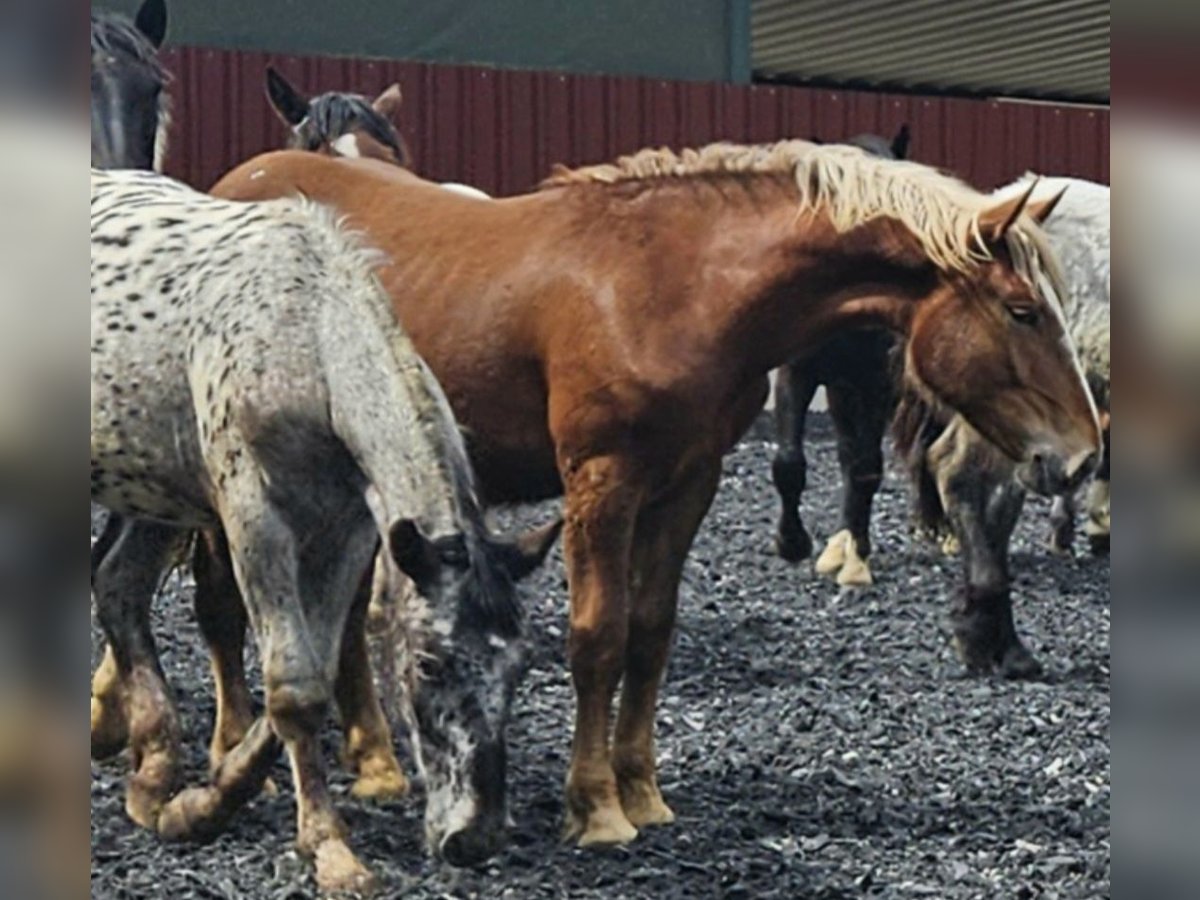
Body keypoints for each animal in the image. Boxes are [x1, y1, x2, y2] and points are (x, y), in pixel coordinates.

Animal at [90, 168, 559, 890]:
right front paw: (331, 848)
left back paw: (154, 774)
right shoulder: (255, 521)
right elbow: (296, 686)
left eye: (521, 664)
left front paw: (199, 805)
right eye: (429, 660)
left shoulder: (347, 532)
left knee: (117, 585)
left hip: (156, 490)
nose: (473, 837)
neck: (306, 339)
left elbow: (316, 666)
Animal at [770, 125, 910, 586]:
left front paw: (858, 559)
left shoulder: (878, 384)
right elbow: (790, 463)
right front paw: (792, 542)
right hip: (841, 390)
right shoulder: (799, 374)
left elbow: (868, 468)